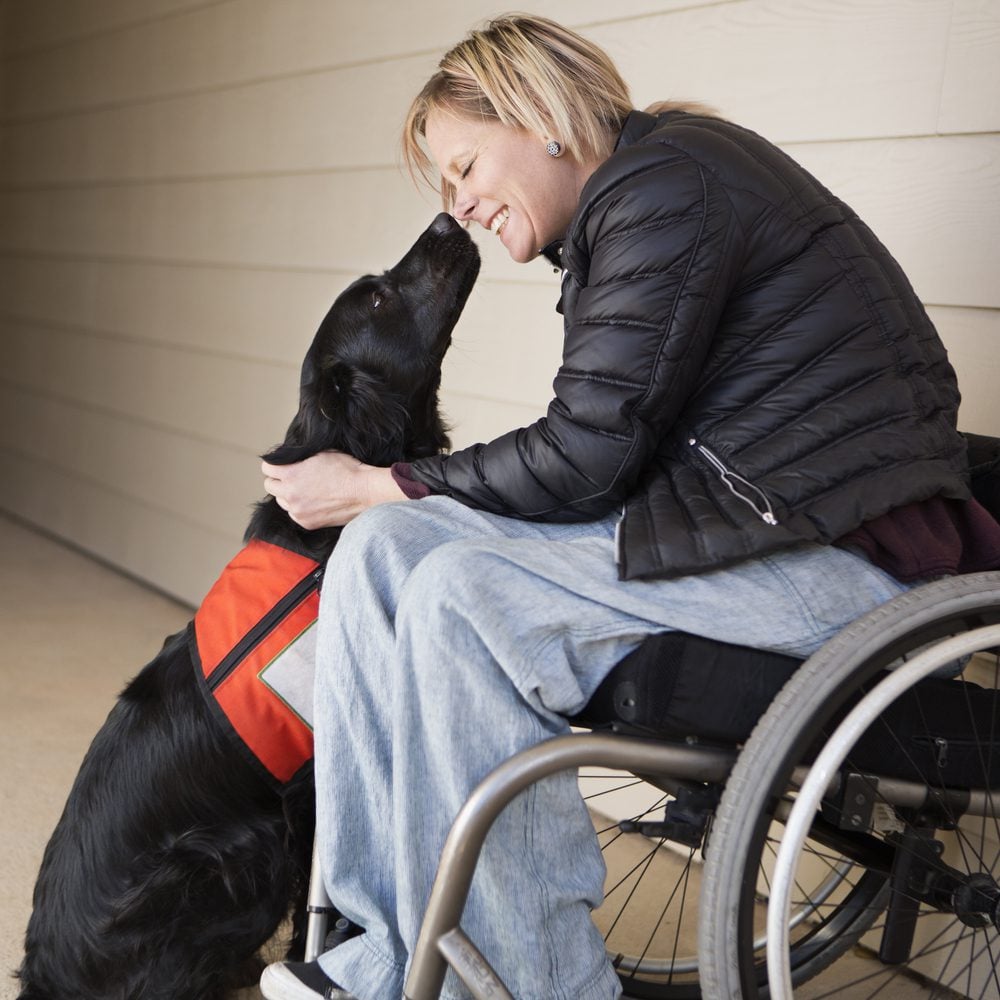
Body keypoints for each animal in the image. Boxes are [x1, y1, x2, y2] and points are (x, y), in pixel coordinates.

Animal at [17, 217, 480, 1000]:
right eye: (379, 297)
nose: (450, 220)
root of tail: (46, 977)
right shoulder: (319, 785)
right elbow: (335, 897)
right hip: (238, 851)